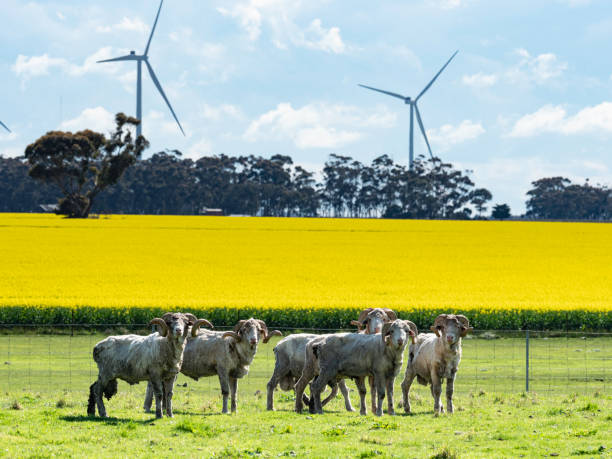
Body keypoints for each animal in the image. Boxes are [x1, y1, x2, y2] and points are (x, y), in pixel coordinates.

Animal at [146, 318, 282, 416]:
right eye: (245, 329)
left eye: (258, 330)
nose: (253, 340)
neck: (234, 346)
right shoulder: (222, 370)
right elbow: (226, 391)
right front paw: (225, 411)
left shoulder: (233, 374)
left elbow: (234, 393)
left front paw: (234, 411)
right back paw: (151, 408)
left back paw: (162, 408)